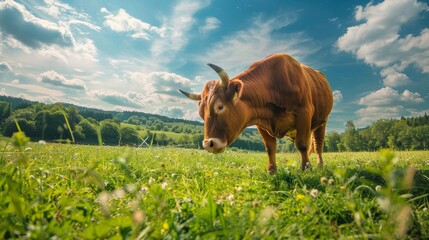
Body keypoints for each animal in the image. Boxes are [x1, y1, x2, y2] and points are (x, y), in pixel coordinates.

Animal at [179, 53, 332, 172]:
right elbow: (270, 147)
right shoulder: (261, 122)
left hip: (322, 121)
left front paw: (306, 169)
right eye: (200, 113)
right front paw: (272, 171)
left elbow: (302, 144)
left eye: (220, 106)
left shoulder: (304, 113)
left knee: (317, 143)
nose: (208, 144)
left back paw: (320, 165)